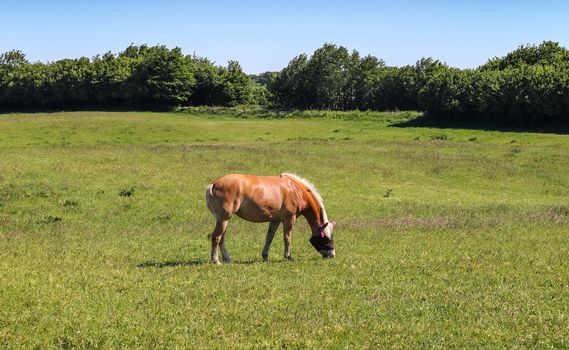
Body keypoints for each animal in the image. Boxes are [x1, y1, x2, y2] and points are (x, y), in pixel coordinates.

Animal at [205, 172, 336, 262]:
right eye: (328, 240)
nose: (332, 255)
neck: (295, 190)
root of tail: (213, 185)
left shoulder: (275, 220)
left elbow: (269, 238)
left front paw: (265, 257)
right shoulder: (289, 219)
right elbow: (287, 238)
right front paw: (288, 256)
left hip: (224, 219)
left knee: (221, 238)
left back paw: (227, 258)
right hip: (224, 218)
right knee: (216, 237)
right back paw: (216, 260)